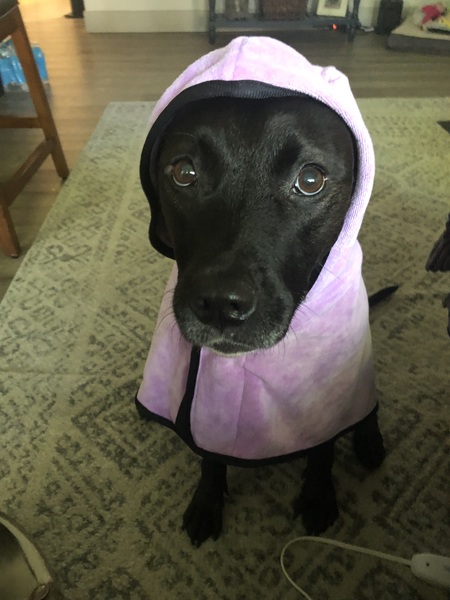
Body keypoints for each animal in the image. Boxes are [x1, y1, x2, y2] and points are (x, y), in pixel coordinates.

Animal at [141, 95, 386, 548]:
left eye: (311, 179)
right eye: (184, 172)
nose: (221, 304)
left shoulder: (323, 402)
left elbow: (323, 447)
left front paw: (318, 497)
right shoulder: (204, 403)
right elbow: (209, 453)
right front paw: (207, 502)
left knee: (367, 408)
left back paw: (370, 441)